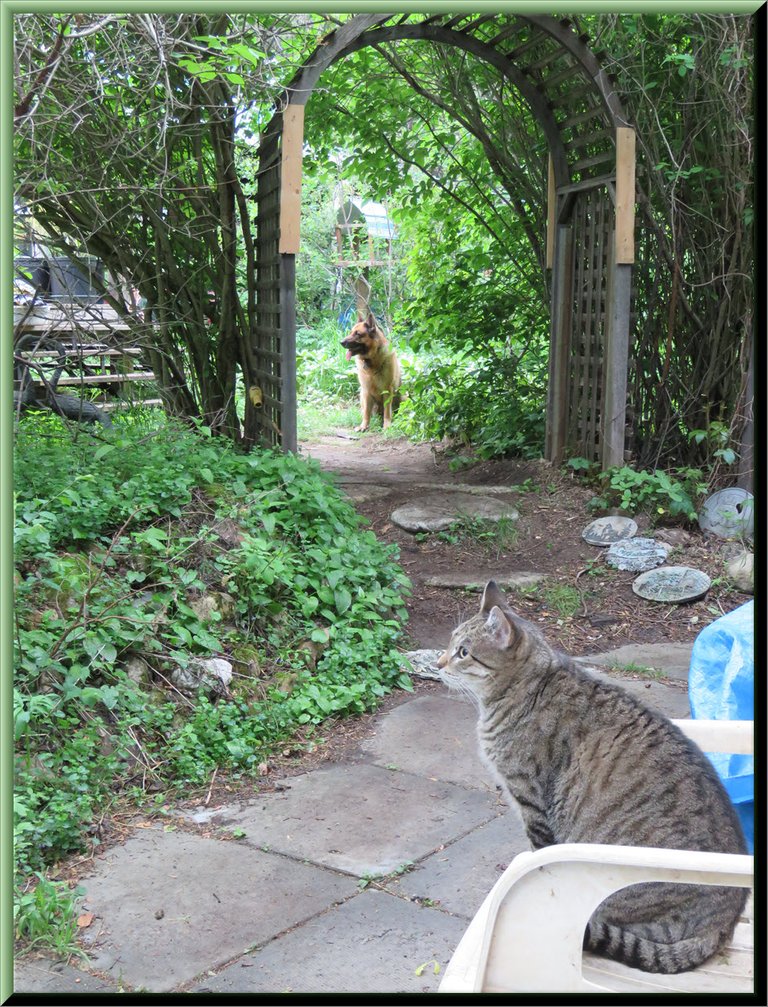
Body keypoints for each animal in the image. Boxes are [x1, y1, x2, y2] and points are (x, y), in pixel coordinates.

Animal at [440, 584, 748, 974]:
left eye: (463, 652)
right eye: (451, 642)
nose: (438, 663)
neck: (525, 686)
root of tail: (724, 925)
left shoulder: (532, 804)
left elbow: (540, 853)